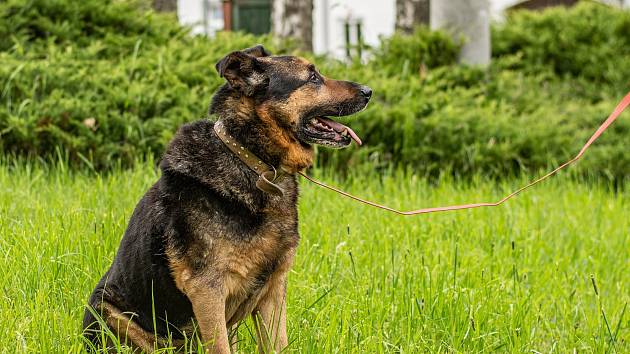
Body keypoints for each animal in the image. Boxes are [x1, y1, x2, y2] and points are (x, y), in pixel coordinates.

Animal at [82, 44, 370, 352]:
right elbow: (220, 345)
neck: (254, 162)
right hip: (108, 310)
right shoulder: (207, 290)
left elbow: (277, 344)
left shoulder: (273, 291)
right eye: (313, 77)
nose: (369, 91)